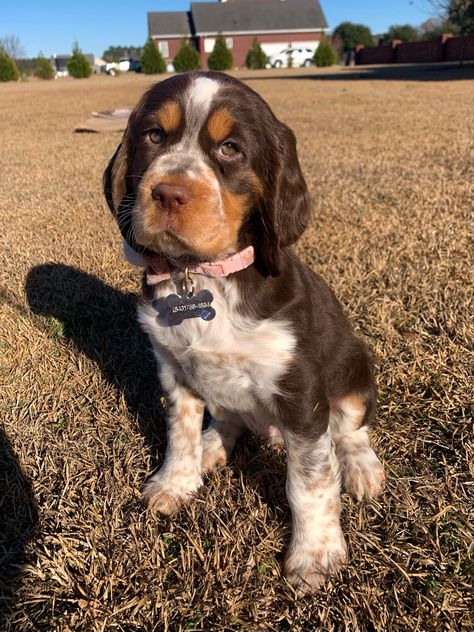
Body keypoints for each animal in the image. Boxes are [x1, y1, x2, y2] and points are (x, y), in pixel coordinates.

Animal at [103, 70, 386, 592]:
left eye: (230, 148)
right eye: (154, 136)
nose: (168, 193)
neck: (203, 277)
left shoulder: (300, 392)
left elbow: (311, 480)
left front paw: (314, 554)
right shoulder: (174, 369)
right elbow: (181, 433)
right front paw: (175, 483)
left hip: (356, 365)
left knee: (351, 429)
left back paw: (361, 468)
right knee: (229, 419)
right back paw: (213, 447)